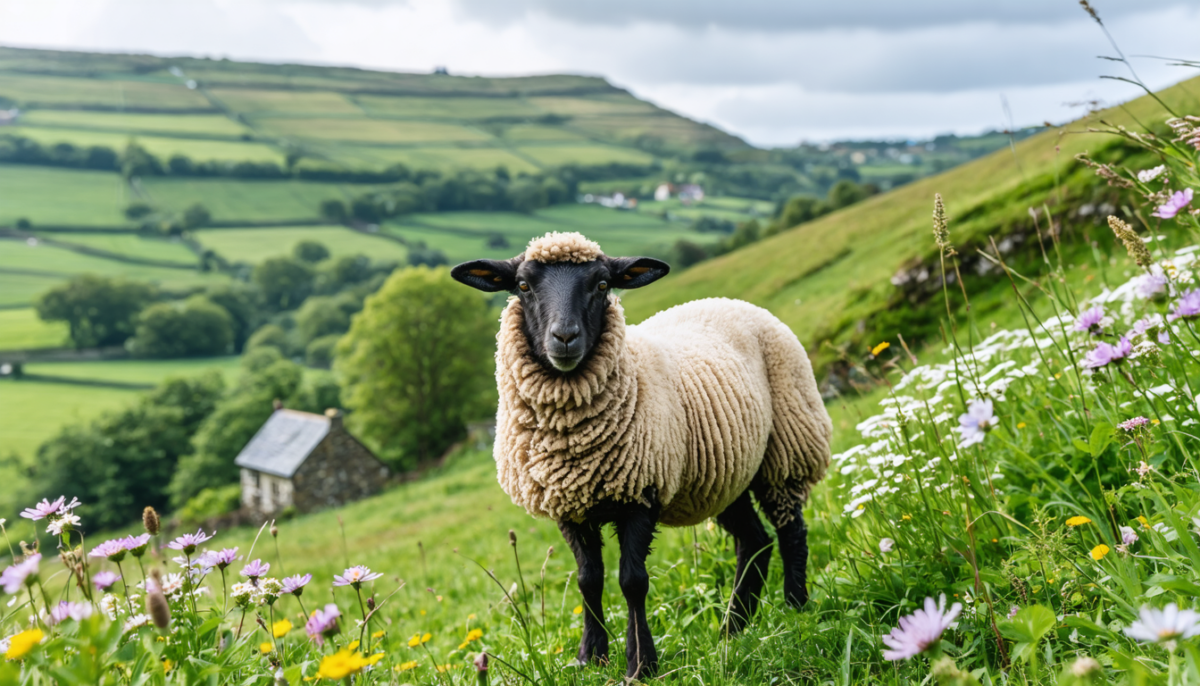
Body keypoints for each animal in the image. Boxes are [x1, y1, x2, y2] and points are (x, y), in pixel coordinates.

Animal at [452, 231, 831, 678]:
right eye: (523, 286)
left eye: (602, 285)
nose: (565, 337)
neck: (572, 443)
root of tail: (732, 301)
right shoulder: (570, 506)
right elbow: (588, 580)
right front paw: (590, 657)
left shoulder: (641, 492)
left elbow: (632, 581)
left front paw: (640, 665)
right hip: (726, 475)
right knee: (755, 541)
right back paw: (734, 628)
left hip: (786, 451)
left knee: (791, 532)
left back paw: (795, 608)